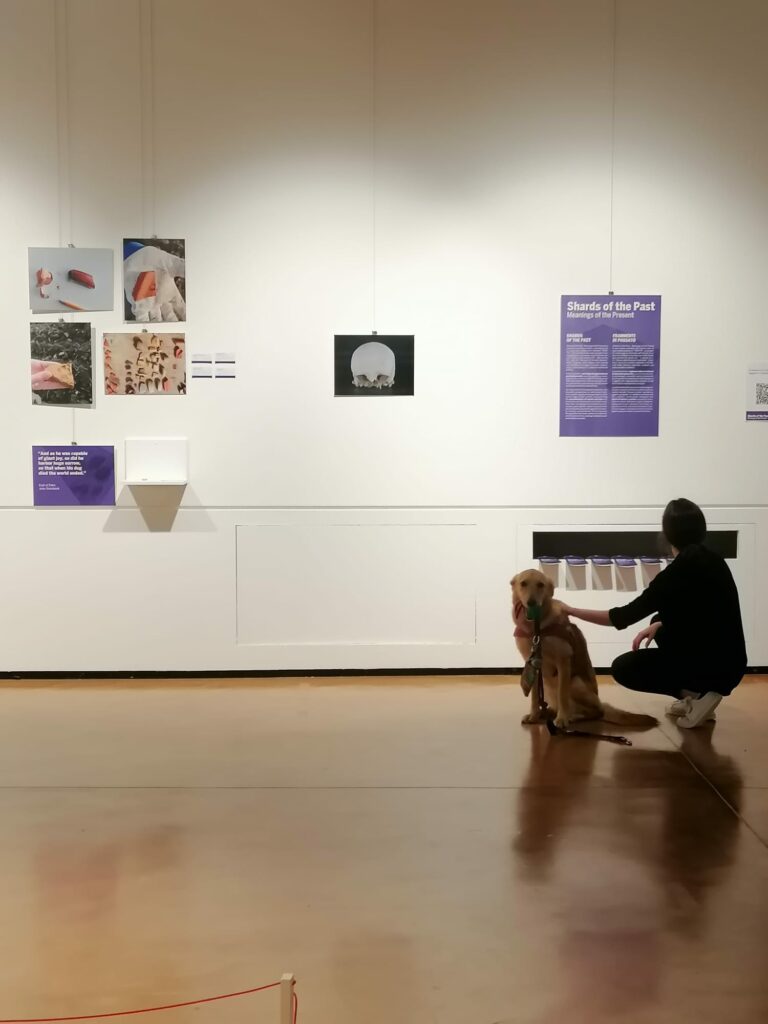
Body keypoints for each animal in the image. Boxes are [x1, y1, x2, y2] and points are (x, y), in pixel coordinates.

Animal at [514, 573, 659, 733]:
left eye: (540, 585)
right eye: (523, 583)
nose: (531, 603)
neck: (538, 629)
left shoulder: (563, 661)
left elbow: (562, 694)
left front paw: (562, 719)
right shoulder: (532, 665)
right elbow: (534, 697)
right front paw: (533, 716)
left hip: (575, 683)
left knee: (595, 712)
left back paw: (572, 716)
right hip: (547, 683)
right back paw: (546, 712)